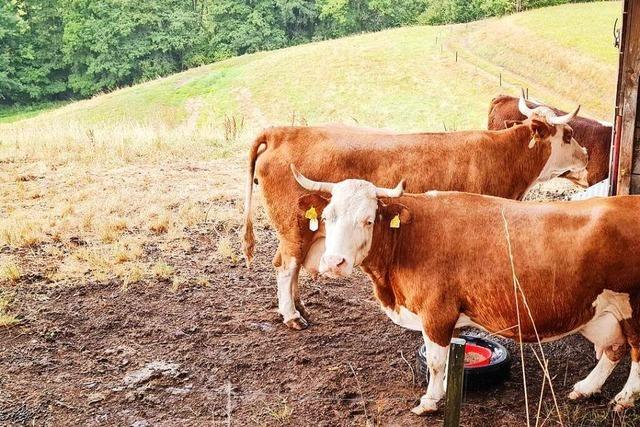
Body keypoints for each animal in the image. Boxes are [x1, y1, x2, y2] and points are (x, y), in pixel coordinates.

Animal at [242, 99, 588, 332]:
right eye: (568, 134)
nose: (586, 155)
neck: (500, 156)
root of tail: (282, 132)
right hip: (294, 229)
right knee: (285, 267)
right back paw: (291, 316)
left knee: (291, 268)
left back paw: (299, 307)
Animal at [292, 169, 640, 416]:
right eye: (327, 217)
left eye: (367, 220)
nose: (334, 262)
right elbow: (446, 359)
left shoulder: (437, 312)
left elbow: (435, 361)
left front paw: (430, 401)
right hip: (604, 312)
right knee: (615, 349)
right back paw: (586, 387)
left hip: (634, 307)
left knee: (635, 351)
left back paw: (624, 398)